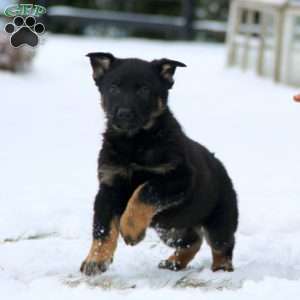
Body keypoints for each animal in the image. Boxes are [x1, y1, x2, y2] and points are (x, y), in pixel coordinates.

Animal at [80, 52, 239, 276]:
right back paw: (174, 262)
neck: (135, 142)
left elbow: (144, 190)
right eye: (113, 88)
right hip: (171, 227)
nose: (124, 113)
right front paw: (96, 259)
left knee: (222, 244)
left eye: (144, 90)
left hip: (219, 220)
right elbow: (102, 228)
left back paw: (221, 268)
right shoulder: (108, 186)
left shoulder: (178, 177)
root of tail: (222, 168)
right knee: (193, 241)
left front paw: (130, 229)